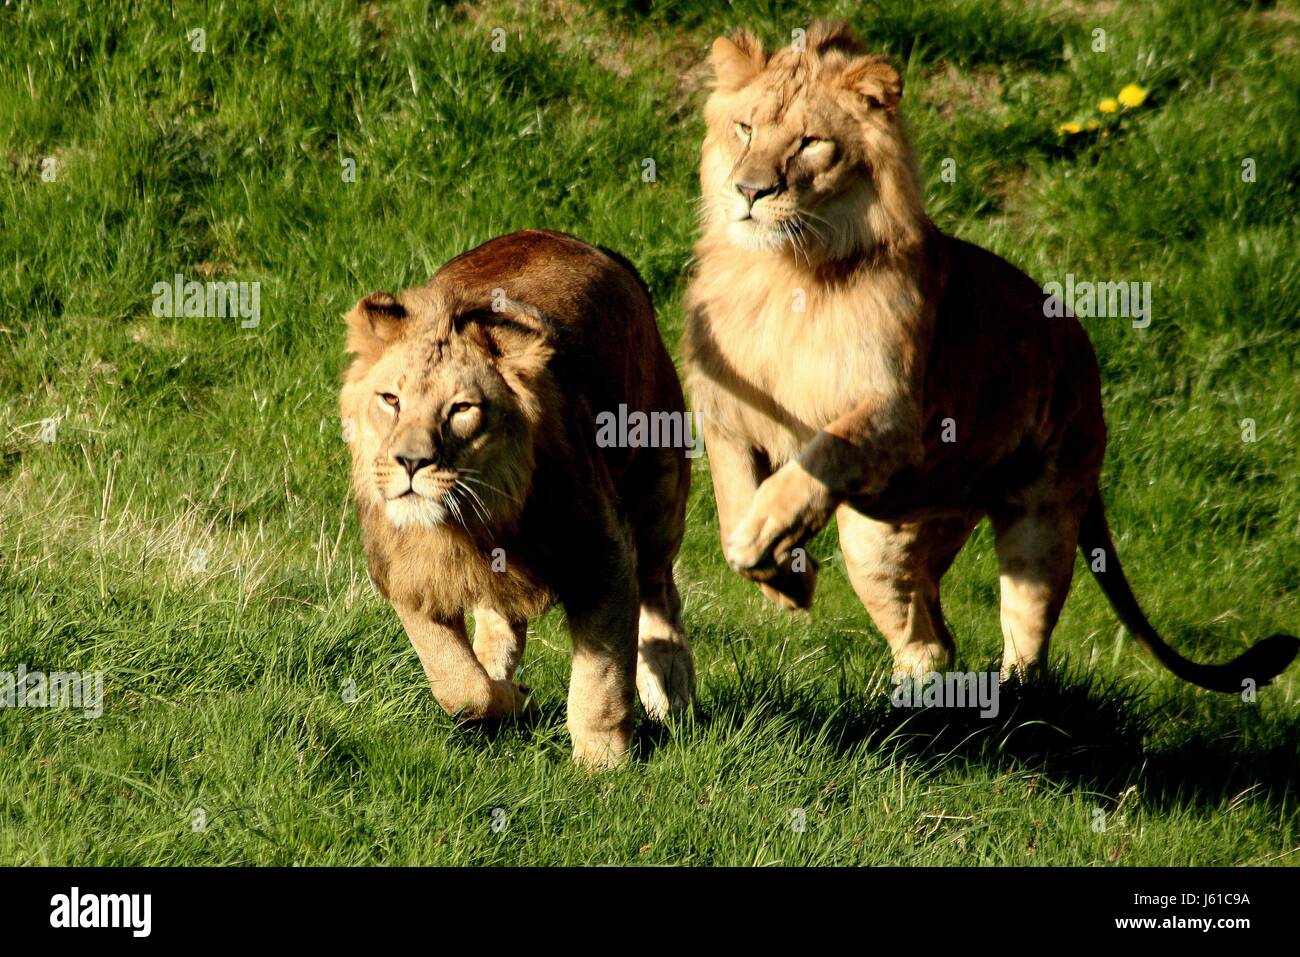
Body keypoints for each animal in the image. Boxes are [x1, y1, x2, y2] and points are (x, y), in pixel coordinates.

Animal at [340, 227, 696, 764]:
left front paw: (602, 766)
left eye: (461, 409)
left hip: (658, 496)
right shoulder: (404, 574)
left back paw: (673, 690)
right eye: (391, 399)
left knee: (661, 594)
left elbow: (601, 681)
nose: (410, 462)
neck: (472, 522)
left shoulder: (604, 558)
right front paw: (509, 700)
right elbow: (457, 683)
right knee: (499, 624)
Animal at [686, 22, 1294, 691]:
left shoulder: (895, 417)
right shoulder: (724, 410)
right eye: (745, 128)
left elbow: (813, 460)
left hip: (1038, 515)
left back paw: (1002, 702)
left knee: (1020, 638)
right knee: (929, 639)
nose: (749, 190)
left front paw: (766, 542)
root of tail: (1084, 350)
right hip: (885, 535)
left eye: (810, 143)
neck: (785, 270)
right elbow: (732, 497)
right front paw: (780, 575)